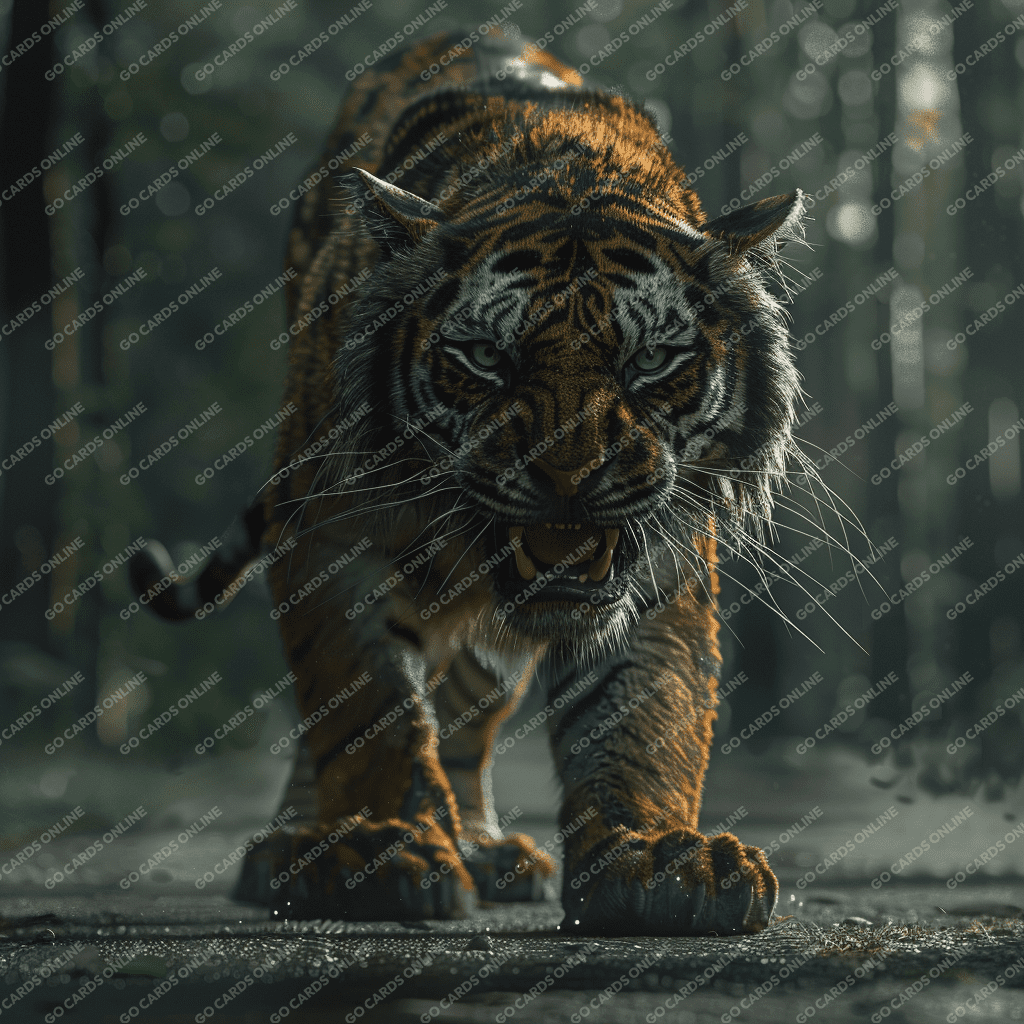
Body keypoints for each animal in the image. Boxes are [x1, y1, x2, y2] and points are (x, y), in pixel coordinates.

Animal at [129, 28, 810, 935]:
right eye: (487, 357)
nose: (569, 474)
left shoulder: (662, 565)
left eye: (650, 362)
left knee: (468, 702)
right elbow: (365, 709)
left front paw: (659, 854)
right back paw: (292, 848)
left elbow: (642, 713)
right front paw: (376, 849)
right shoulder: (326, 539)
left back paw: (486, 848)